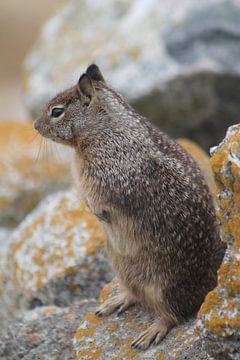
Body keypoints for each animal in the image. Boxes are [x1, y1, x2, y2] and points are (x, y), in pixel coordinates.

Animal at [34, 64, 226, 348]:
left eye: (56, 111)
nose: (35, 125)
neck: (105, 130)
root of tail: (209, 282)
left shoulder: (107, 179)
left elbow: (100, 201)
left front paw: (96, 211)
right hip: (121, 267)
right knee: (136, 294)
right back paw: (115, 302)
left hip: (164, 286)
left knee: (174, 314)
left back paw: (150, 333)